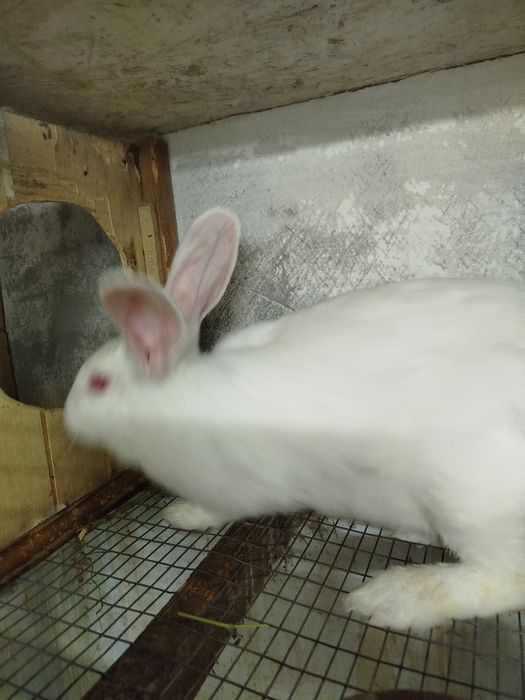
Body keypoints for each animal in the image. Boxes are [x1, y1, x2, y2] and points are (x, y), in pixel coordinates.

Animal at [65, 207, 525, 631]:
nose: (67, 420)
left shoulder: (226, 488)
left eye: (99, 384)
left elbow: (213, 511)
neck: (175, 400)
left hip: (463, 491)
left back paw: (390, 598)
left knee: (504, 579)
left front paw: (180, 514)